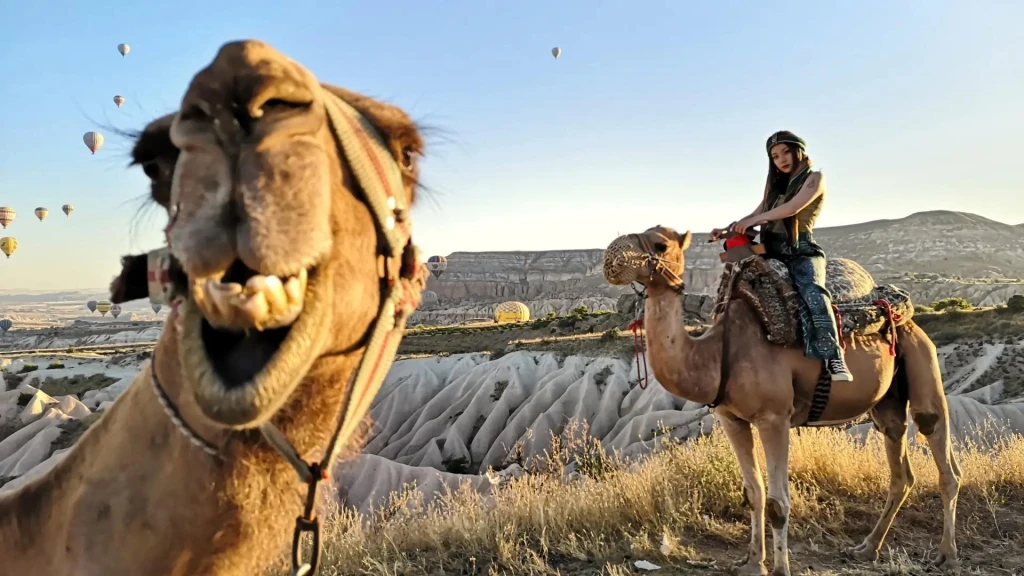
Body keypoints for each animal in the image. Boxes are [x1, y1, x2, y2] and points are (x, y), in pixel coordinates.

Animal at [603, 226, 962, 576]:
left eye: (660, 245)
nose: (611, 256)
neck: (715, 353)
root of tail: (903, 311)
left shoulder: (774, 417)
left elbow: (778, 503)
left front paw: (779, 568)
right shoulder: (731, 419)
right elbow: (753, 493)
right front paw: (752, 563)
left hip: (920, 354)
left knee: (938, 445)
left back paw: (946, 555)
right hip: (888, 400)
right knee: (899, 465)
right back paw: (867, 548)